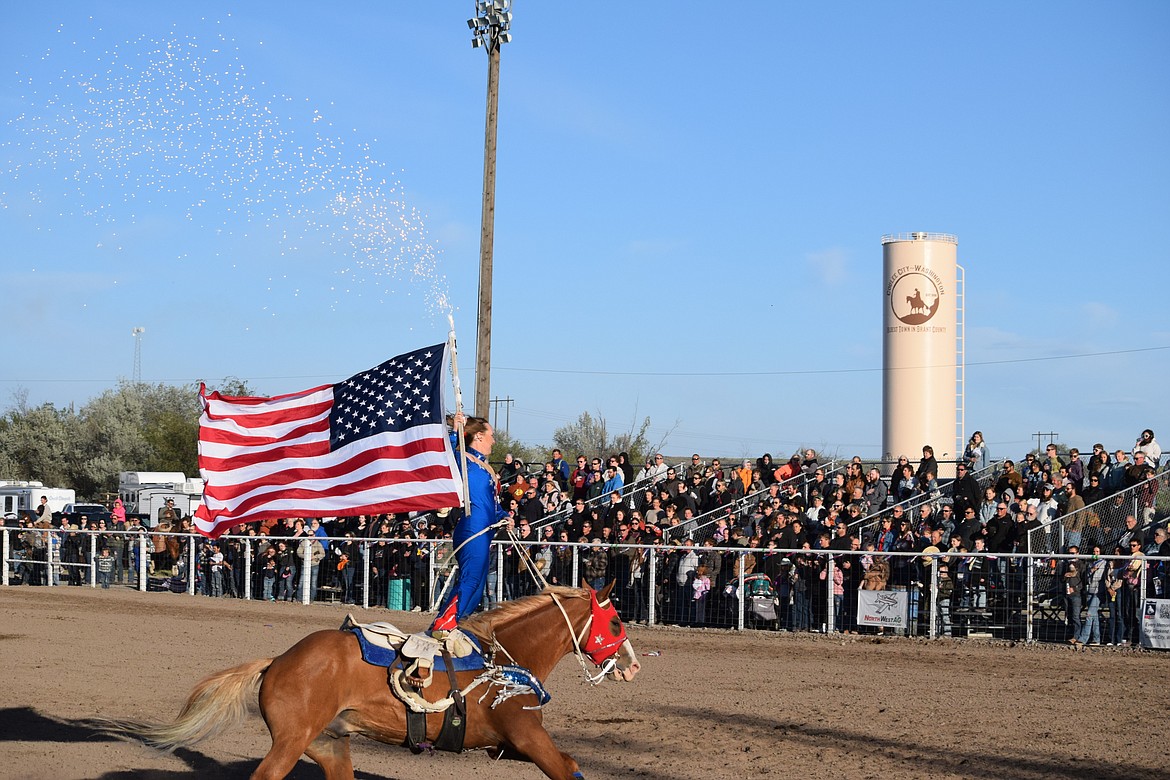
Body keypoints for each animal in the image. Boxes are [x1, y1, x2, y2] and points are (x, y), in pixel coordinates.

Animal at [107, 584, 641, 780]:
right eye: (616, 622)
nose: (633, 666)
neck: (504, 656)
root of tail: (278, 661)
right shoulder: (528, 736)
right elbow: (568, 768)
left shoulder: (511, 746)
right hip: (291, 741)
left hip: (328, 743)